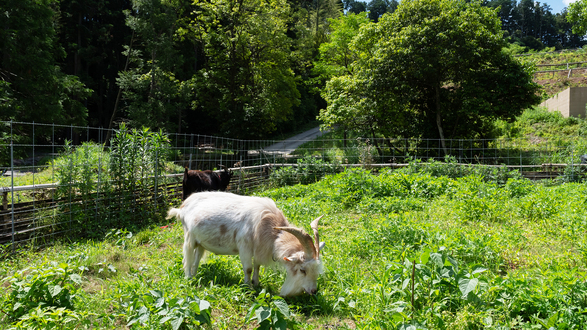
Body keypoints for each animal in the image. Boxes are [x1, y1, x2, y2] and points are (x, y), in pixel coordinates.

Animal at [165, 191, 326, 296]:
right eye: (302, 270)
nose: (313, 291)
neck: (269, 227)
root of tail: (182, 207)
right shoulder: (244, 247)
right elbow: (248, 268)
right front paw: (248, 287)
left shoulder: (258, 248)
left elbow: (257, 266)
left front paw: (256, 282)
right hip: (189, 237)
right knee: (187, 258)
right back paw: (189, 278)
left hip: (201, 243)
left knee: (196, 258)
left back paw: (195, 275)